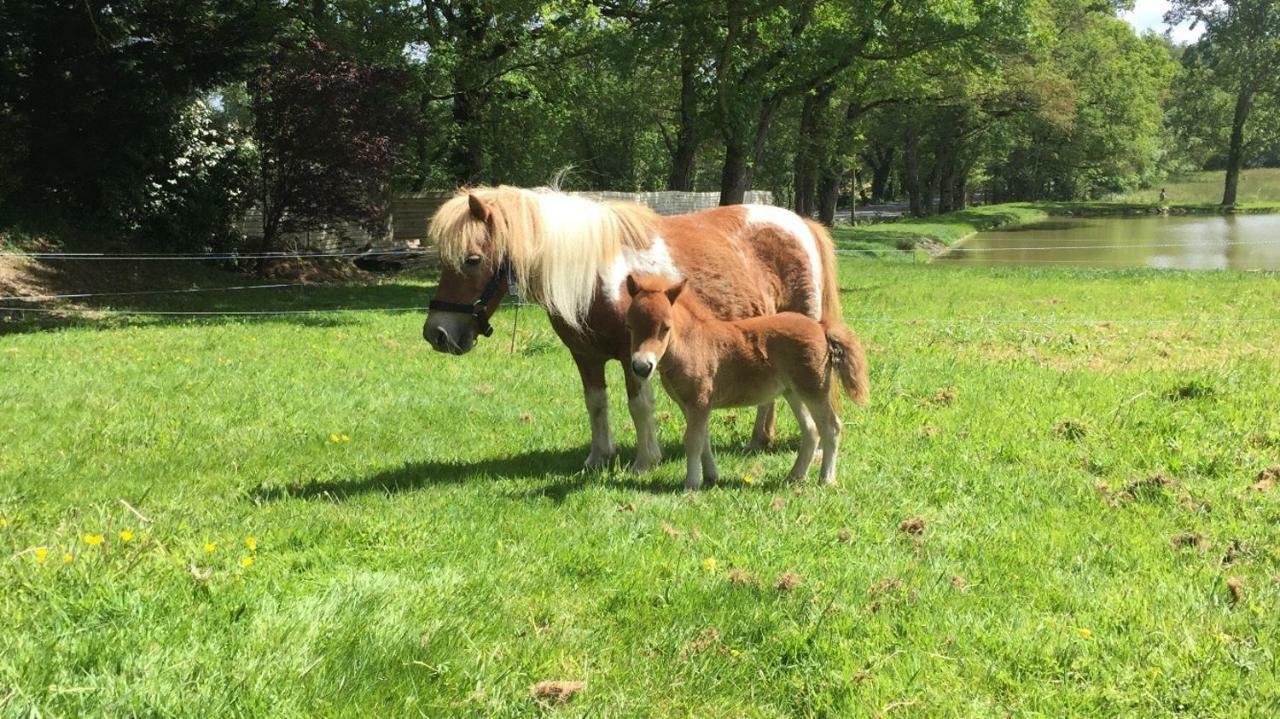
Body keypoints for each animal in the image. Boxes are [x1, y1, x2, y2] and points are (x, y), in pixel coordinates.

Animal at [424, 184, 844, 470]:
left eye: (472, 259)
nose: (437, 334)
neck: (595, 273)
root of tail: (801, 223)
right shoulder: (586, 356)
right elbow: (596, 404)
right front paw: (598, 458)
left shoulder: (635, 356)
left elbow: (638, 406)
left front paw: (645, 461)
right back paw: (759, 442)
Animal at [622, 272, 870, 486]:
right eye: (629, 326)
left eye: (665, 328)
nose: (642, 367)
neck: (692, 344)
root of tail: (820, 327)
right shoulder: (690, 405)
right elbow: (703, 440)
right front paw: (711, 476)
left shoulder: (698, 402)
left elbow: (692, 440)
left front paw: (691, 483)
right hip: (793, 392)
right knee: (811, 430)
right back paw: (795, 476)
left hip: (814, 390)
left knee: (831, 427)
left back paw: (826, 479)